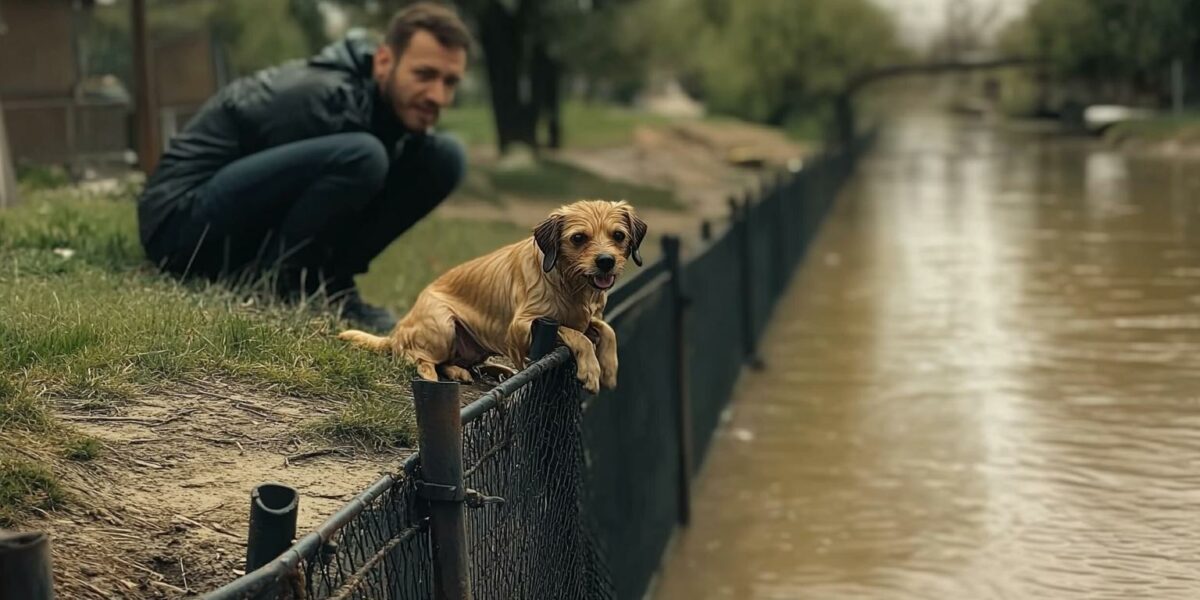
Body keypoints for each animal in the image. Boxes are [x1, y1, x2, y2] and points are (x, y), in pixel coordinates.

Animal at [338, 199, 648, 393]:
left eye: (618, 236)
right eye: (578, 238)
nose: (606, 261)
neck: (569, 283)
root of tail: (396, 333)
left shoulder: (587, 319)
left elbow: (606, 330)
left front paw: (610, 370)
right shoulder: (522, 328)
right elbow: (576, 335)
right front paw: (591, 371)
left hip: (474, 344)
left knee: (453, 361)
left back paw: (485, 371)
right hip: (442, 325)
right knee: (417, 358)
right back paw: (435, 375)